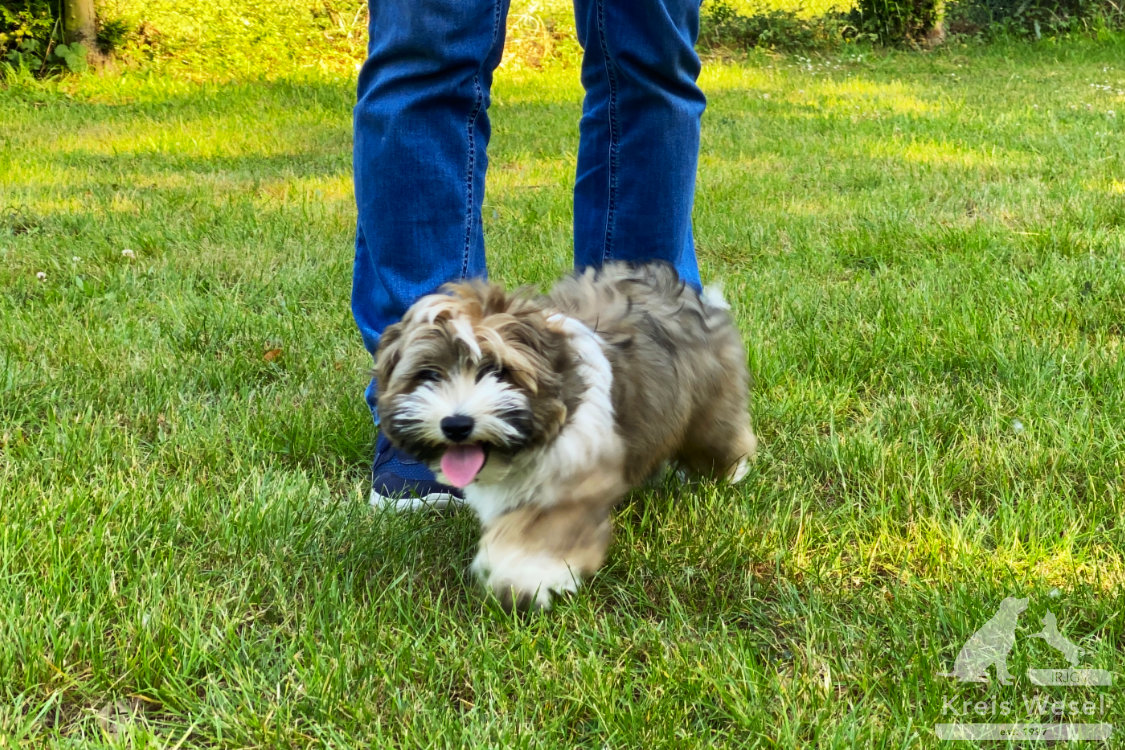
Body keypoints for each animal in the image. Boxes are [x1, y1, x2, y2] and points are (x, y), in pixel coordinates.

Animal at [375, 260, 756, 611]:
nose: (456, 424)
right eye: (429, 375)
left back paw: (733, 471)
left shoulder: (577, 475)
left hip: (708, 409)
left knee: (719, 441)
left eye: (498, 371)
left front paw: (521, 575)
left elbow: (543, 530)